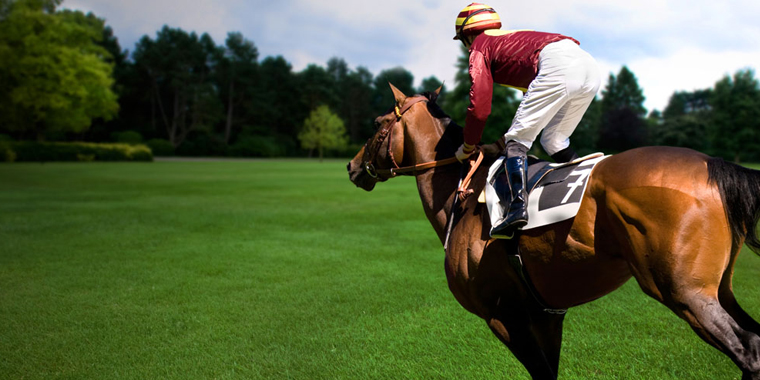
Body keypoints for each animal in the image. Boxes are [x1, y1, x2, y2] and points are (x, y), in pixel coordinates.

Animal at [348, 84, 760, 378]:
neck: (462, 195)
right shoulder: (547, 314)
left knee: (748, 349)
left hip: (685, 292)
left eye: (378, 123)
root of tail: (716, 165)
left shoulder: (504, 314)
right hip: (717, 289)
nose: (353, 166)